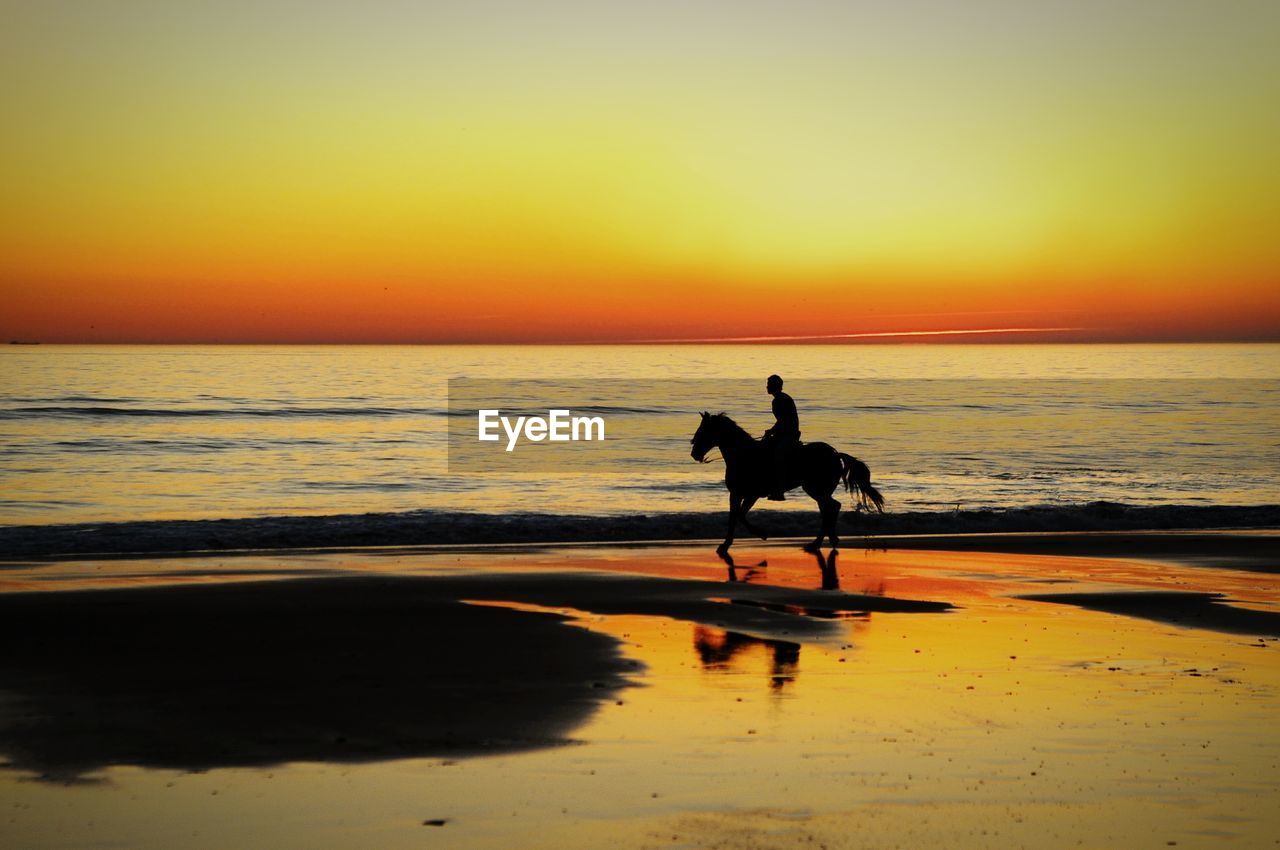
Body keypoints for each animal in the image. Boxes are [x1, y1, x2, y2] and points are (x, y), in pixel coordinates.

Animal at [686, 412, 885, 558]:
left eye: (703, 431)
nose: (694, 453)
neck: (743, 455)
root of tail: (836, 455)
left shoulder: (749, 494)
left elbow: (738, 516)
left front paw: (758, 534)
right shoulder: (738, 494)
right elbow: (736, 516)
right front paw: (728, 543)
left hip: (815, 489)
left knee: (831, 507)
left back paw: (819, 542)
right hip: (818, 491)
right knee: (829, 508)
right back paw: (825, 540)